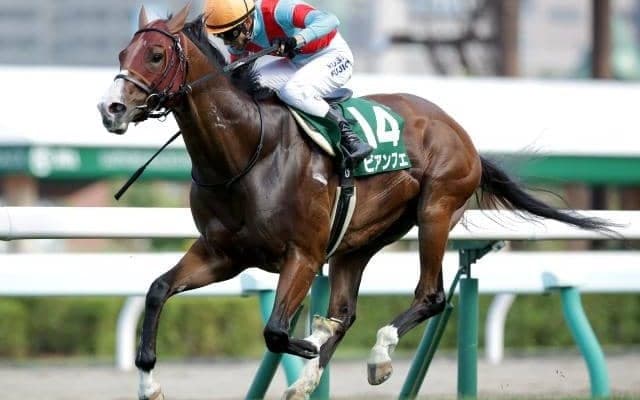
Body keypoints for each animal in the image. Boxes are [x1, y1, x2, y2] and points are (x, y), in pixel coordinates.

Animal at [97, 5, 611, 400]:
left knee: (430, 294)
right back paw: (309, 377)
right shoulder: (222, 253)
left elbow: (277, 331)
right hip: (358, 241)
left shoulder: (302, 255)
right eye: (122, 53)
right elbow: (158, 290)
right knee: (346, 311)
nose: (111, 109)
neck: (247, 152)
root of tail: (460, 133)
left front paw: (312, 338)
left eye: (156, 54)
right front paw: (148, 384)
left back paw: (378, 355)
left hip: (435, 209)